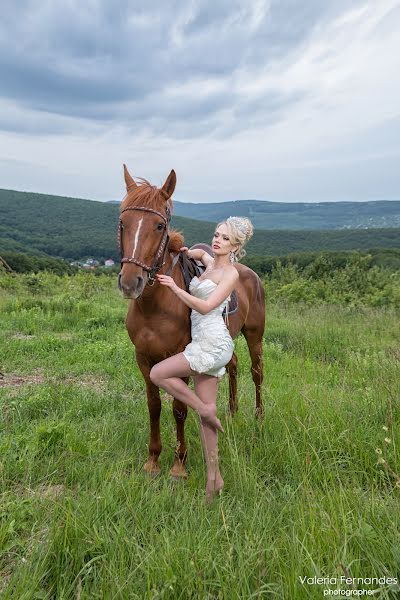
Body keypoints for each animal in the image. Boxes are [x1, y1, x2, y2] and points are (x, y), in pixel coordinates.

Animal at [117, 164, 264, 478]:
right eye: (123, 221)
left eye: (159, 226)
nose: (130, 283)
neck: (155, 306)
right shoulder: (143, 358)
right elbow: (154, 405)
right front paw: (153, 459)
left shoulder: (180, 356)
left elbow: (179, 408)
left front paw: (179, 465)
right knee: (233, 366)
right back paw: (231, 413)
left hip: (255, 334)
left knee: (257, 372)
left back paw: (259, 418)